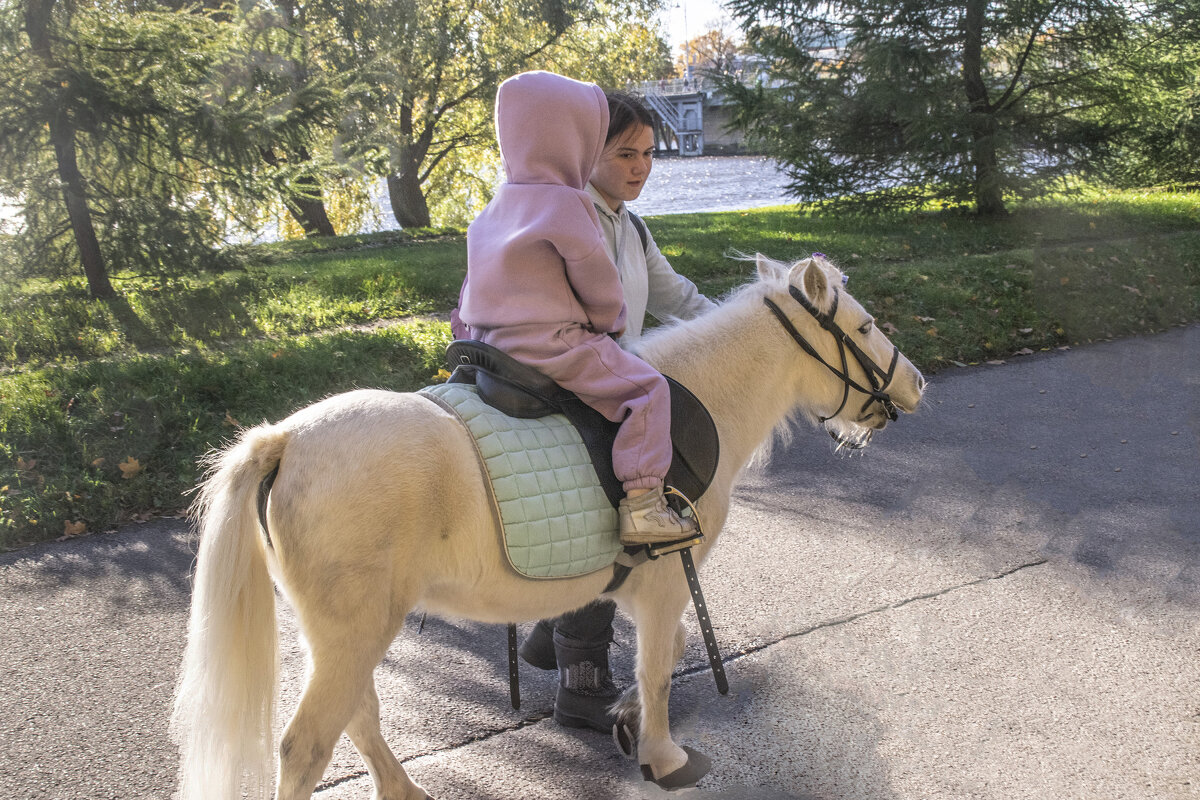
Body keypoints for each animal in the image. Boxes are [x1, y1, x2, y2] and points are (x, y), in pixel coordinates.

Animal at [171, 255, 926, 800]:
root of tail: (286, 439)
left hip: (337, 631)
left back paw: (405, 790)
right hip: (354, 628)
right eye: (862, 329)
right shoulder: (663, 584)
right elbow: (658, 667)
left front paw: (623, 718)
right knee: (305, 745)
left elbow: (666, 651)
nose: (917, 384)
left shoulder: (641, 589)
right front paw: (661, 754)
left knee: (357, 715)